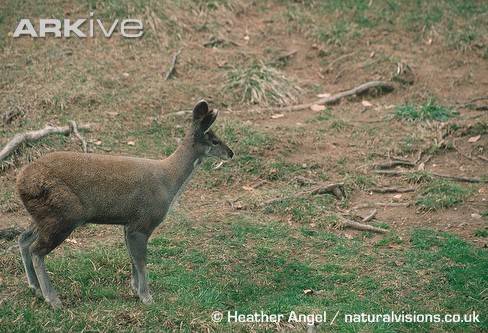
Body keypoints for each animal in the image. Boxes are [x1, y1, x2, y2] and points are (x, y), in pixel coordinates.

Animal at [16, 100, 234, 308]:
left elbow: (132, 258)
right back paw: (52, 299)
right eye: (214, 140)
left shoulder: (128, 224)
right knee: (36, 250)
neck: (168, 182)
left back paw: (35, 289)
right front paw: (146, 297)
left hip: (44, 215)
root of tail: (21, 182)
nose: (231, 153)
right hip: (64, 214)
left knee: (23, 239)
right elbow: (141, 261)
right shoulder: (143, 222)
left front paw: (135, 290)